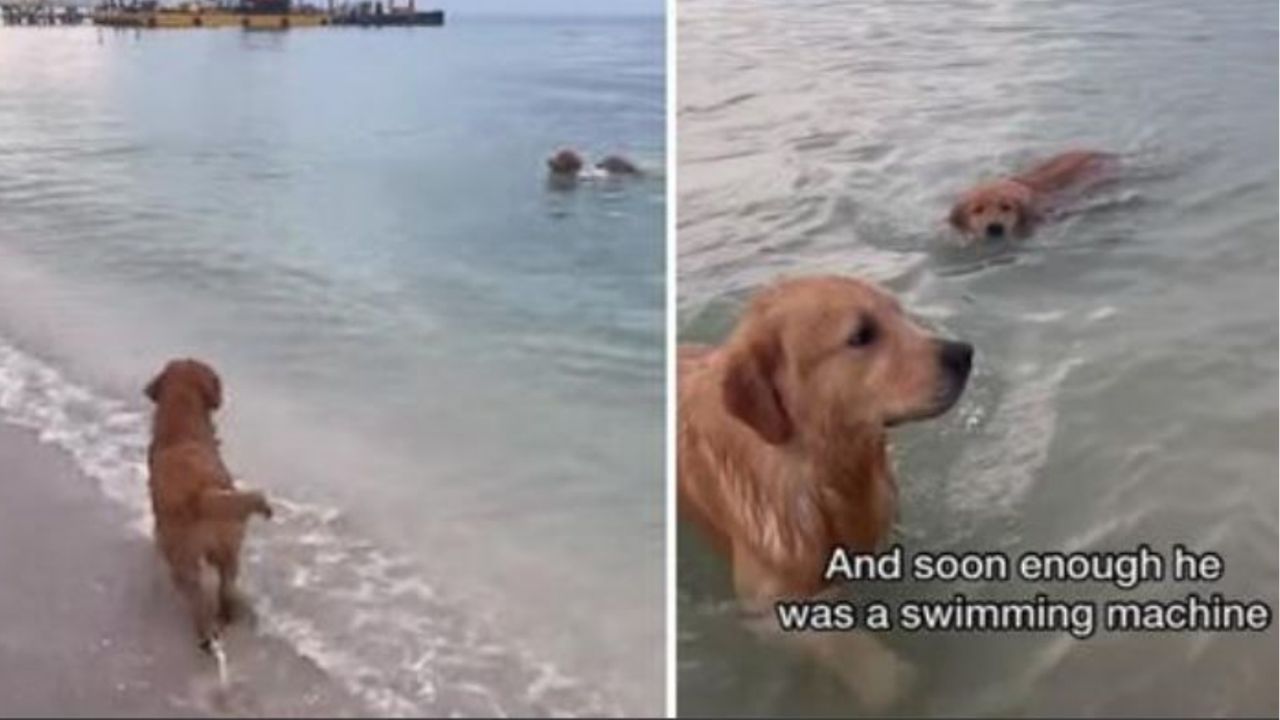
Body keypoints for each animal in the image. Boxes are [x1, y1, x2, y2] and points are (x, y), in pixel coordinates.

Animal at [145, 358, 272, 650]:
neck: (183, 428)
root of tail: (202, 493)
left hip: (184, 562)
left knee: (197, 600)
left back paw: (205, 635)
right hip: (229, 549)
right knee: (226, 589)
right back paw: (227, 616)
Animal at [680, 275, 967, 707]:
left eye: (898, 312)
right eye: (862, 335)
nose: (964, 354)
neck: (826, 476)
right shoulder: (768, 609)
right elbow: (870, 666)